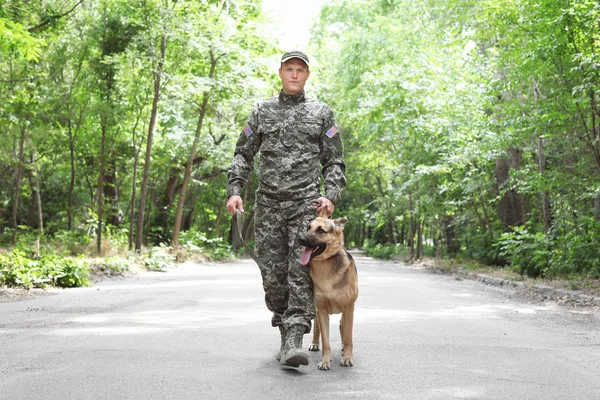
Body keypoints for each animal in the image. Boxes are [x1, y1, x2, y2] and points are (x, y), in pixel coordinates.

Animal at [298, 217, 358, 370]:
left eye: (321, 230)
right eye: (308, 227)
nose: (300, 239)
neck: (325, 264)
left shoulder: (348, 308)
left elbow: (348, 337)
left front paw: (347, 358)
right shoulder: (322, 310)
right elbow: (325, 341)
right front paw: (325, 361)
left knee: (343, 326)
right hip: (317, 311)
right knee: (317, 327)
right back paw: (314, 344)